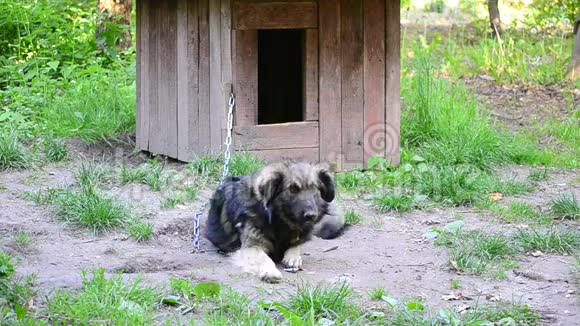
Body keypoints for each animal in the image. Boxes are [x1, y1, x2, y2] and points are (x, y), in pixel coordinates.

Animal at [204, 160, 344, 282]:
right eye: (292, 189)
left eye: (314, 188)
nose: (311, 215)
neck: (279, 220)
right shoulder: (251, 246)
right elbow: (264, 258)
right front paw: (270, 271)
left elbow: (296, 245)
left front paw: (294, 257)